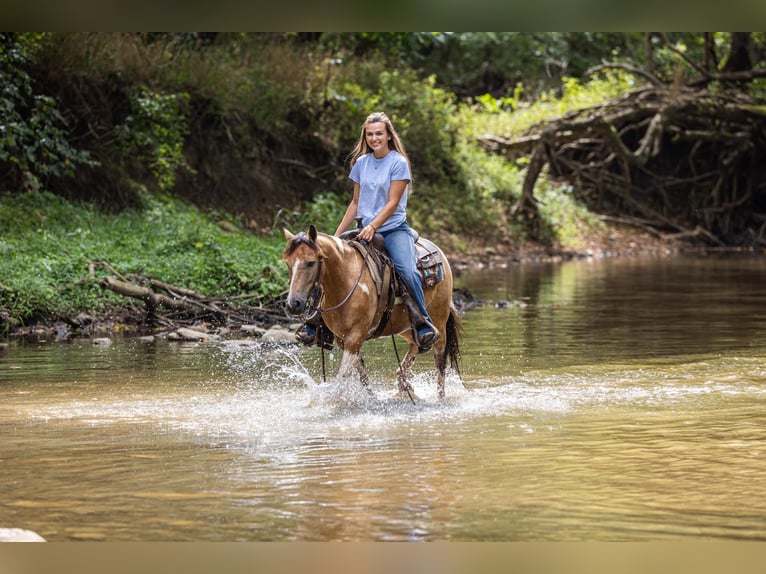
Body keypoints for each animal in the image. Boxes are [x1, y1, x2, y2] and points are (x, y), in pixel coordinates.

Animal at [282, 224, 462, 399]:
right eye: (288, 264)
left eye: (311, 263)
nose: (293, 304)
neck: (346, 279)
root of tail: (440, 253)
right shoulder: (342, 339)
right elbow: (362, 375)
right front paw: (372, 398)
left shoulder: (354, 337)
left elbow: (341, 379)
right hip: (405, 326)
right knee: (416, 344)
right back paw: (404, 384)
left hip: (439, 321)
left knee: (440, 364)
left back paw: (439, 398)